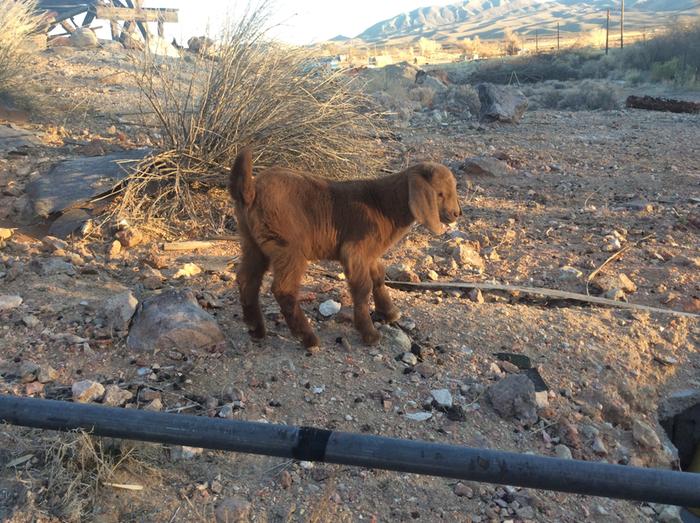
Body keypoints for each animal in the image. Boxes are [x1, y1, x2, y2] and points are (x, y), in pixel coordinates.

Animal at [228, 149, 460, 350]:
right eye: (439, 193)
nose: (457, 213)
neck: (383, 205)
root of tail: (251, 191)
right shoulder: (354, 250)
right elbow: (362, 287)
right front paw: (370, 334)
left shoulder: (370, 253)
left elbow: (378, 276)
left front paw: (390, 312)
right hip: (288, 246)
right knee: (283, 289)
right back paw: (308, 338)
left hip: (251, 241)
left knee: (247, 280)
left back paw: (255, 329)